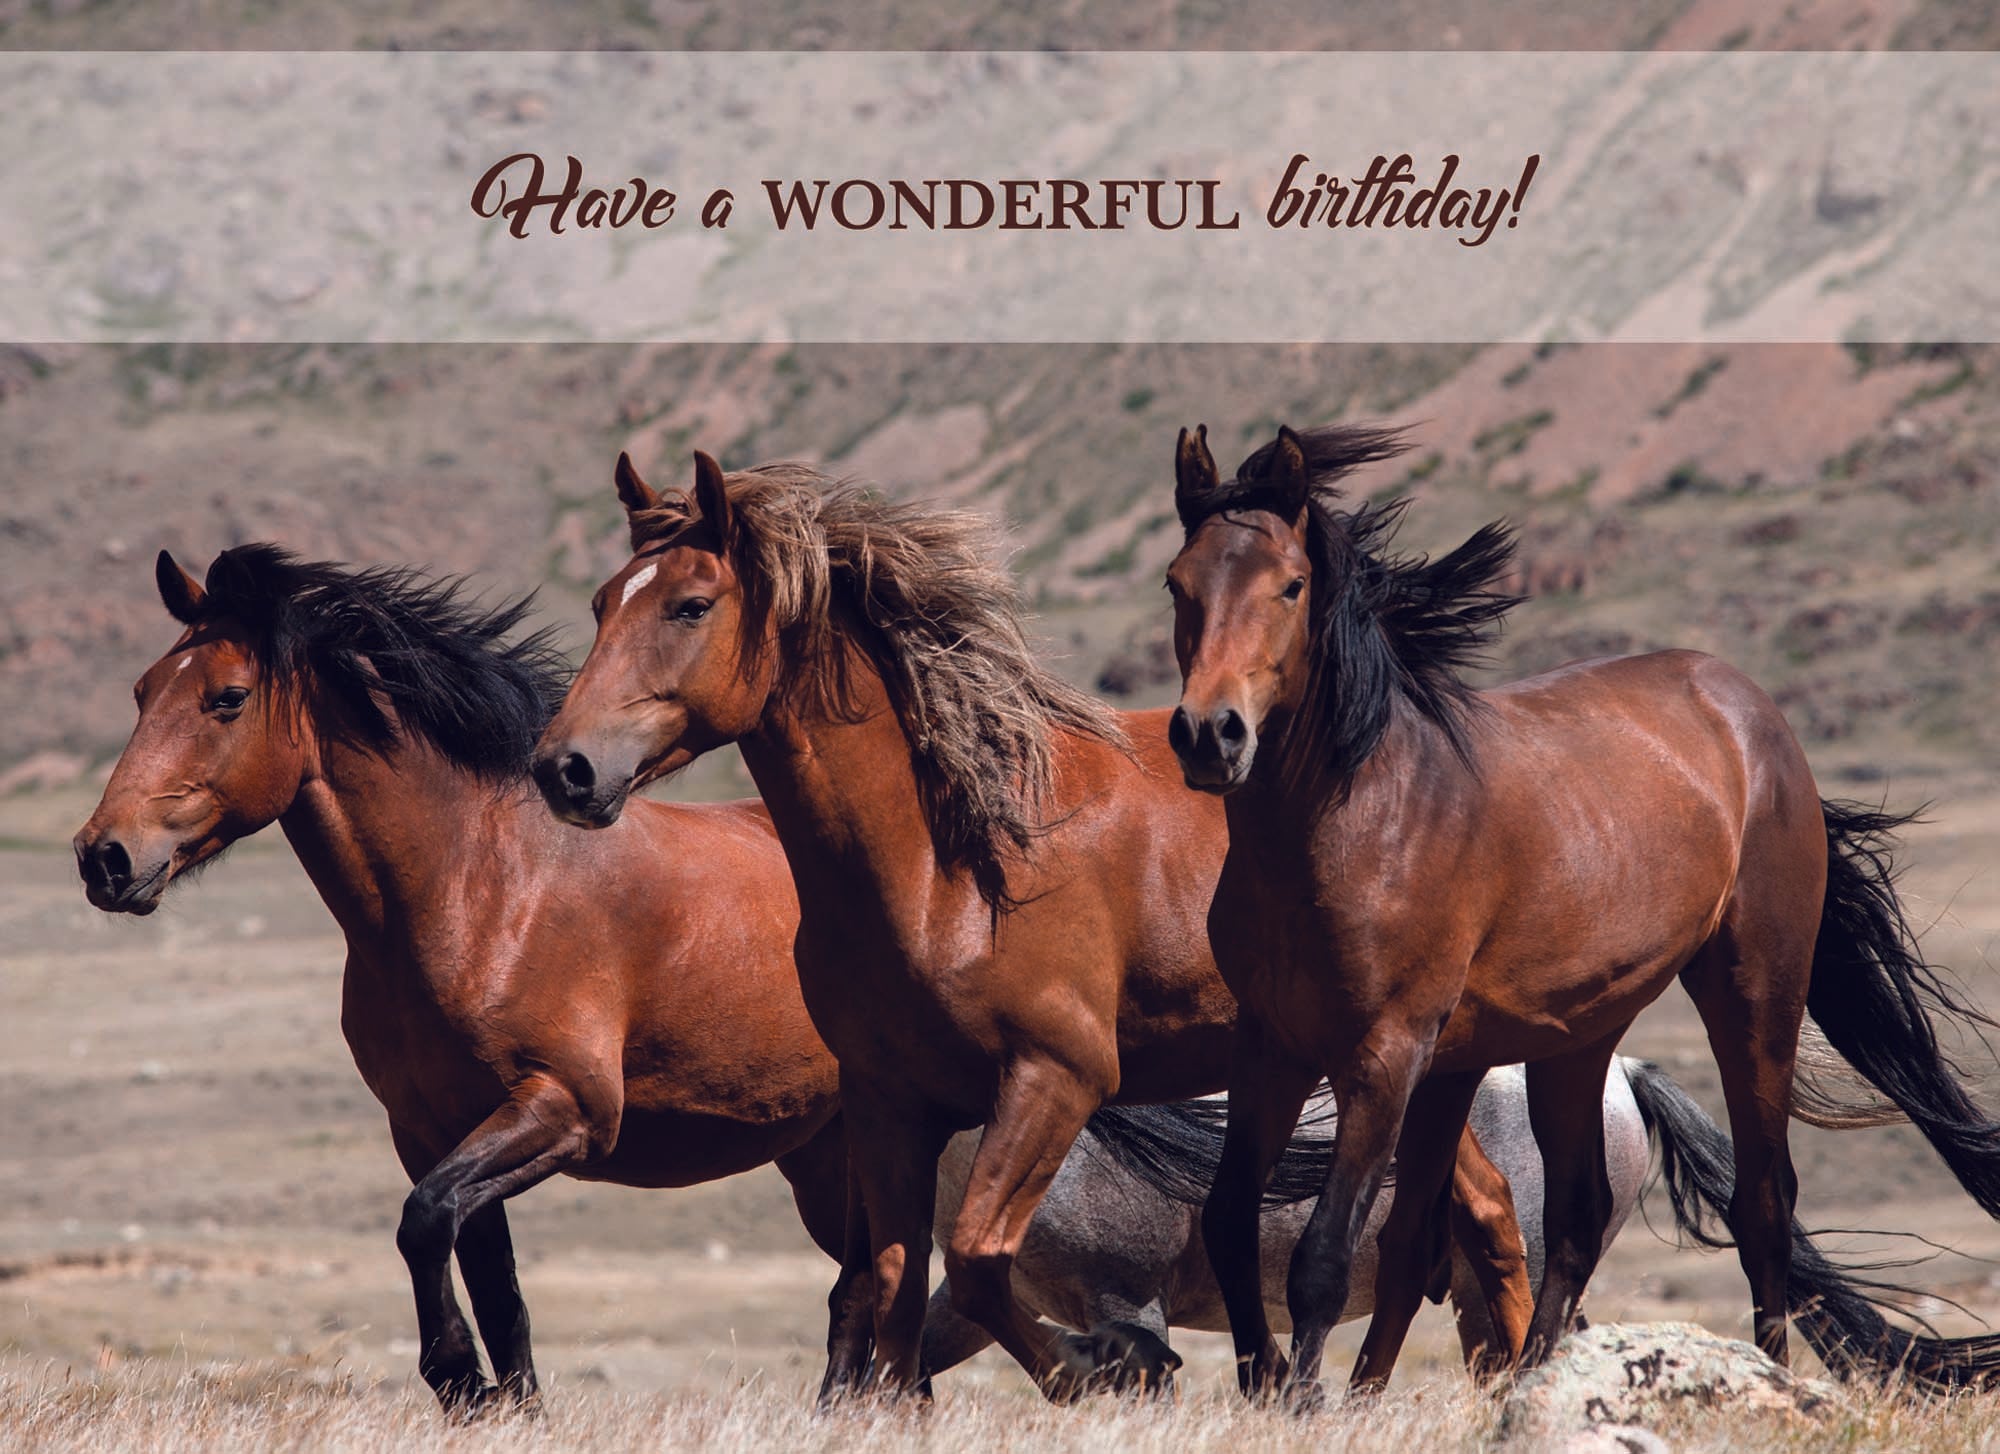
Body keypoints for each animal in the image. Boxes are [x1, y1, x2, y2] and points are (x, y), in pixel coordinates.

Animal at [72, 544, 849, 1413]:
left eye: (228, 699)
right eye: (143, 691)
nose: (104, 857)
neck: (481, 889)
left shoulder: (565, 1107)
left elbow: (424, 1221)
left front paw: (454, 1374)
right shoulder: (431, 1128)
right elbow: (494, 1287)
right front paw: (501, 1404)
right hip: (823, 1151)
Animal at [528, 451, 1540, 1400]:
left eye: (691, 606)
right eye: (601, 603)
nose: (563, 769)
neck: (950, 864)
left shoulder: (1057, 1078)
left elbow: (977, 1264)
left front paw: (1109, 1364)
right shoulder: (890, 1101)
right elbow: (891, 1289)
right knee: (1468, 1214)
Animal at [1164, 421, 2000, 1402]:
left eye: (1291, 585)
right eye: (1178, 582)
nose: (1210, 735)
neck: (1358, 814)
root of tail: (1753, 713)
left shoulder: (1381, 1055)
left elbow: (1325, 1257)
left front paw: (1302, 1405)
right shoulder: (1277, 1047)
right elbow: (1242, 1222)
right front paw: (1278, 1388)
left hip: (1755, 996)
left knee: (1762, 1203)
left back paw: (1765, 1373)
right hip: (1573, 1037)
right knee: (1568, 1216)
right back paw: (1537, 1377)